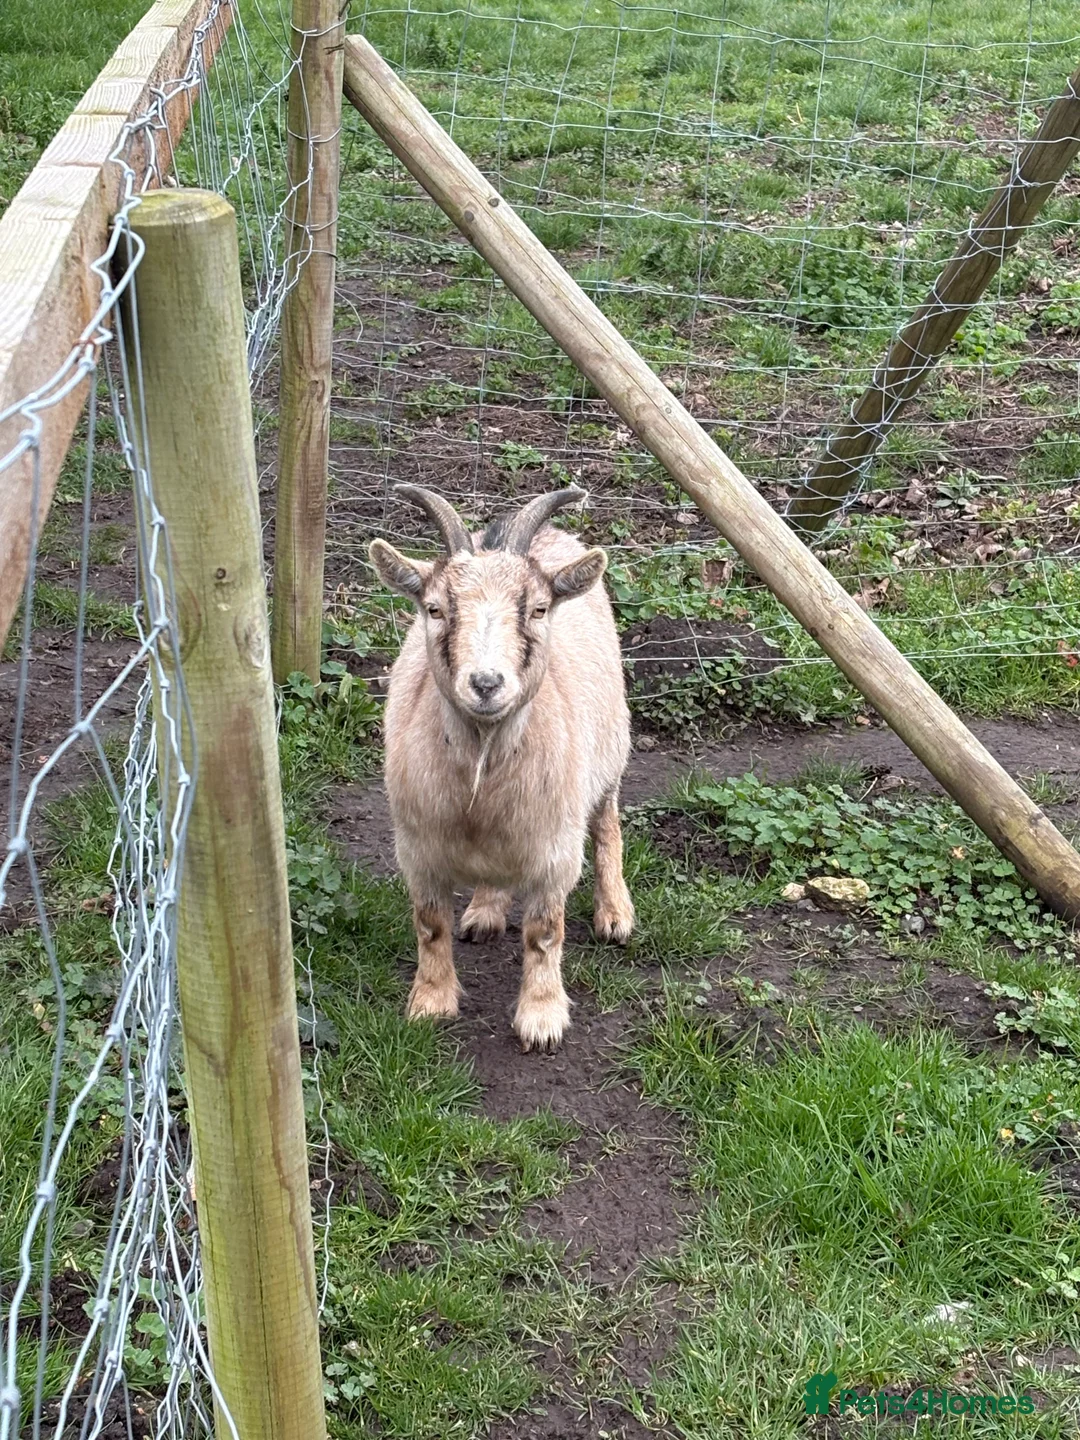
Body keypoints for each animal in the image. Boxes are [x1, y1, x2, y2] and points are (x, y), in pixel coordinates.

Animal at [369, 484, 634, 1051]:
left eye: (538, 608)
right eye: (434, 608)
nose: (486, 683)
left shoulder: (555, 850)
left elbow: (544, 932)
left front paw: (541, 1019)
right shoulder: (417, 846)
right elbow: (430, 925)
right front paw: (430, 1003)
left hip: (611, 747)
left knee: (608, 822)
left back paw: (615, 914)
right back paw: (486, 910)